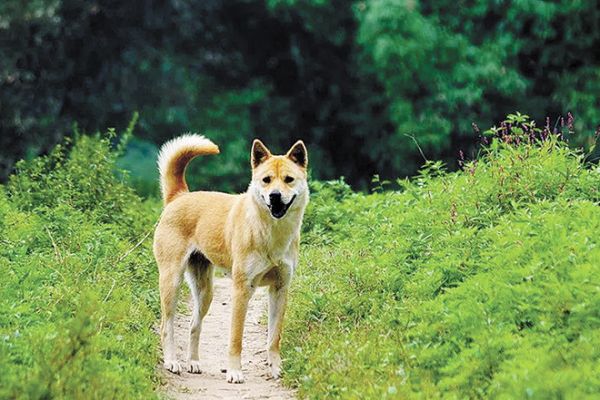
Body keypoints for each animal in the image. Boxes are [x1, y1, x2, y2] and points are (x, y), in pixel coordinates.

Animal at [152, 135, 310, 384]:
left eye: (289, 179)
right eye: (266, 180)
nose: (275, 196)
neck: (270, 232)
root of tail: (180, 196)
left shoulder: (280, 289)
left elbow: (274, 337)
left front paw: (275, 368)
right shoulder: (242, 289)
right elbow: (236, 338)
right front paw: (235, 372)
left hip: (205, 291)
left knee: (194, 325)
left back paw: (193, 363)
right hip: (171, 281)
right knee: (166, 325)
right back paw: (172, 362)